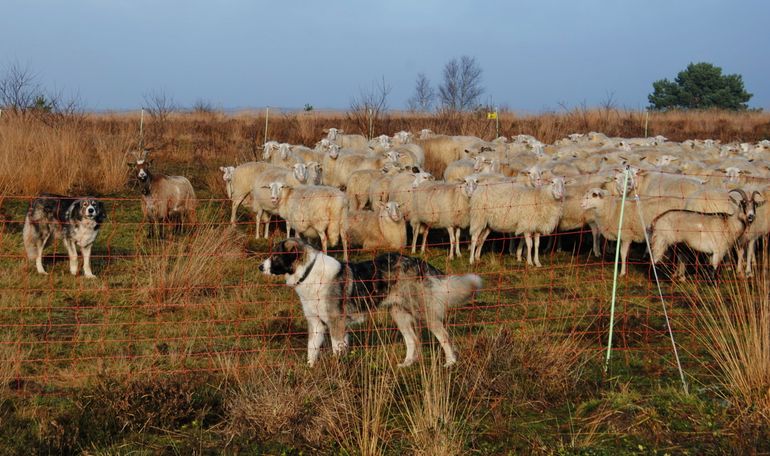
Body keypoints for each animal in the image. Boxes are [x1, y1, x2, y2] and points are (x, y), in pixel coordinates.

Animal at [260, 237, 484, 368]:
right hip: (399, 314)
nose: (260, 267)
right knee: (413, 340)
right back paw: (406, 364)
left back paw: (450, 363)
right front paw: (310, 371)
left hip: (423, 312)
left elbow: (336, 350)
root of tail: (417, 261)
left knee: (444, 336)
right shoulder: (316, 324)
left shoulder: (336, 323)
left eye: (275, 256)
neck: (309, 272)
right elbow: (311, 350)